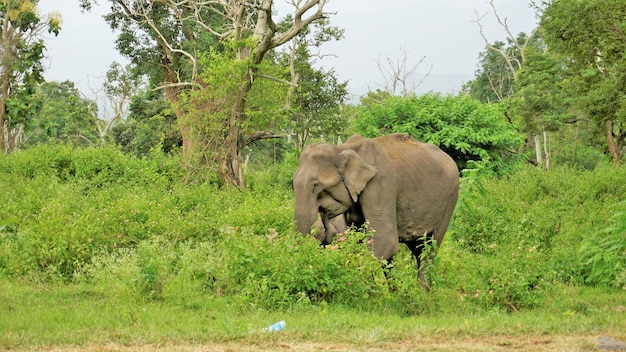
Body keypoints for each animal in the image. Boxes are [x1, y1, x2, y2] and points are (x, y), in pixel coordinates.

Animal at [292, 132, 458, 288]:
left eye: (316, 186)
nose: (323, 220)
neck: (343, 148)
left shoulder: (380, 184)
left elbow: (386, 239)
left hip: (450, 201)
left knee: (428, 250)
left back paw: (420, 295)